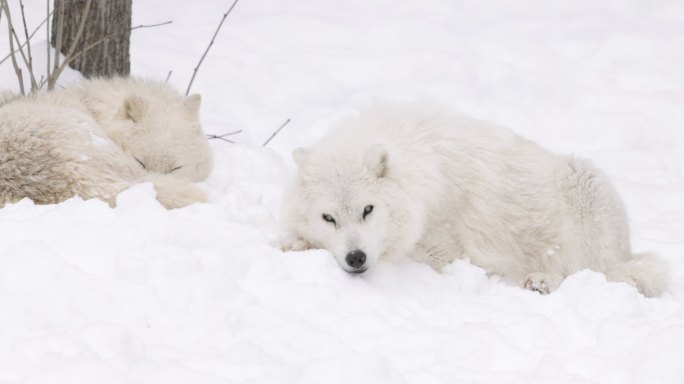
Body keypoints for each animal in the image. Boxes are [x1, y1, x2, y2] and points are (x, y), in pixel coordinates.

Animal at [282, 105, 668, 296]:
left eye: (368, 210)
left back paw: (540, 282)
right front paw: (293, 243)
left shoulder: (442, 249)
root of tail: (626, 253)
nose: (356, 258)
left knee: (587, 272)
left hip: (585, 187)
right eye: (329, 218)